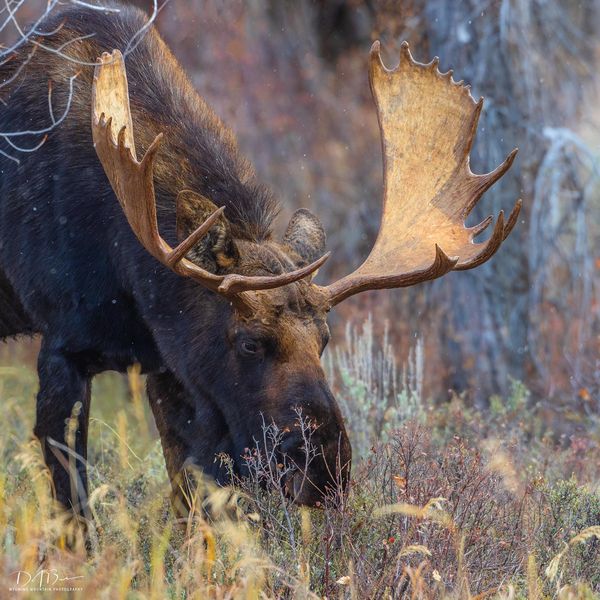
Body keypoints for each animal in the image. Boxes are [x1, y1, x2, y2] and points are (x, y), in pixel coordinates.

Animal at [0, 3, 520, 520]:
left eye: (325, 340)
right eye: (250, 343)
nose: (323, 470)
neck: (132, 279)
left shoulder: (172, 370)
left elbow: (193, 507)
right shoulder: (63, 346)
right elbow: (74, 507)